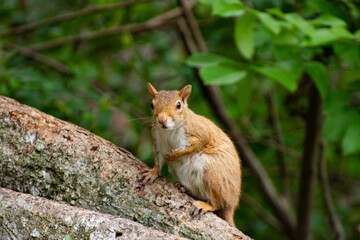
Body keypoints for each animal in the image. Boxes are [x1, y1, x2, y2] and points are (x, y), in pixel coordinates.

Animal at [141, 83, 242, 226]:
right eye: (152, 105)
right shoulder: (159, 142)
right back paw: (184, 188)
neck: (169, 131)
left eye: (178, 105)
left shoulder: (199, 133)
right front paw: (153, 173)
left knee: (218, 203)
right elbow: (158, 160)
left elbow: (197, 144)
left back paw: (206, 205)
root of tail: (231, 205)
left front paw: (174, 155)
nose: (161, 120)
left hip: (211, 170)